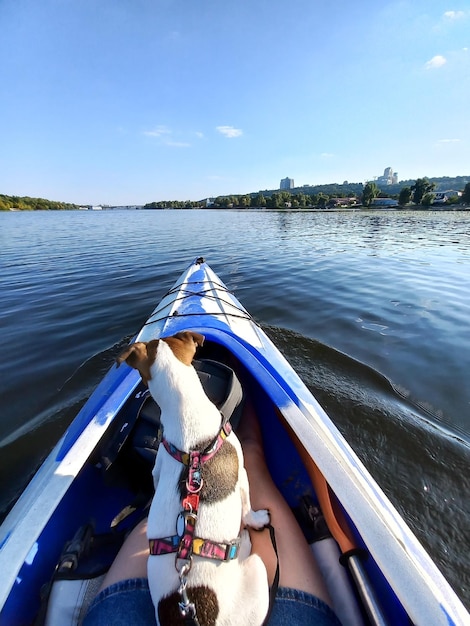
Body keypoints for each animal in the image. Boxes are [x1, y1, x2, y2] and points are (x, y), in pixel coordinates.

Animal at [117, 330, 270, 620]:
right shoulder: (243, 475)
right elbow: (247, 508)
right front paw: (257, 519)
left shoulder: (158, 468)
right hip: (258, 573)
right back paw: (243, 543)